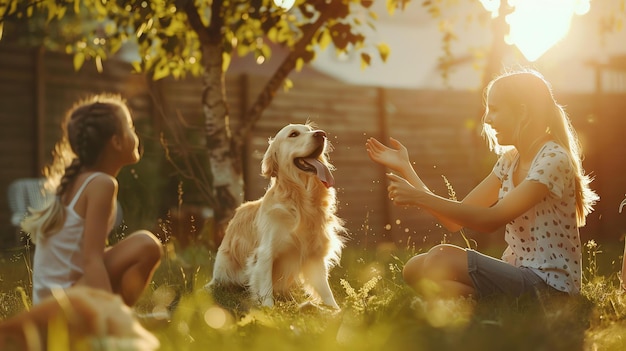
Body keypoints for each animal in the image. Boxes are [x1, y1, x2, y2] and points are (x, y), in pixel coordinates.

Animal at [206, 123, 344, 308]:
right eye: (293, 134)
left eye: (309, 130)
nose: (321, 134)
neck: (298, 201)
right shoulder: (265, 253)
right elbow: (265, 287)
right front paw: (268, 310)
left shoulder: (314, 254)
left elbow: (326, 290)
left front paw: (335, 310)